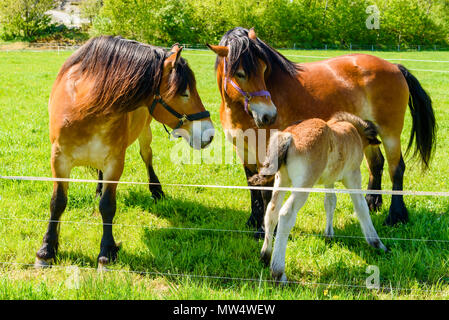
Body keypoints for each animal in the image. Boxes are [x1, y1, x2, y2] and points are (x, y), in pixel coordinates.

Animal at [36, 36, 214, 268]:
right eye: (184, 92)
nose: (209, 133)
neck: (84, 108)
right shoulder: (59, 160)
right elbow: (57, 202)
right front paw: (47, 249)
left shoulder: (114, 162)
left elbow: (107, 206)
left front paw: (106, 251)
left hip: (145, 133)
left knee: (147, 157)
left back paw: (156, 190)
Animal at [208, 26, 436, 232]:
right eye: (240, 73)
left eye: (265, 69)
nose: (269, 115)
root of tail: (395, 67)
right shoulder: (243, 149)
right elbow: (252, 185)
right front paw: (253, 222)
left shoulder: (266, 150)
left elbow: (266, 190)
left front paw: (263, 230)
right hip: (367, 130)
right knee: (376, 164)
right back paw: (372, 203)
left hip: (390, 133)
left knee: (396, 169)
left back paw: (396, 217)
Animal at [250, 112, 386, 282]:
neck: (352, 132)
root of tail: (288, 136)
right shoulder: (353, 175)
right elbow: (361, 208)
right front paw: (376, 243)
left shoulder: (329, 180)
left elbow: (330, 203)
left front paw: (329, 235)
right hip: (304, 184)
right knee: (286, 214)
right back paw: (278, 273)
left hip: (281, 180)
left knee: (272, 211)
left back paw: (265, 256)